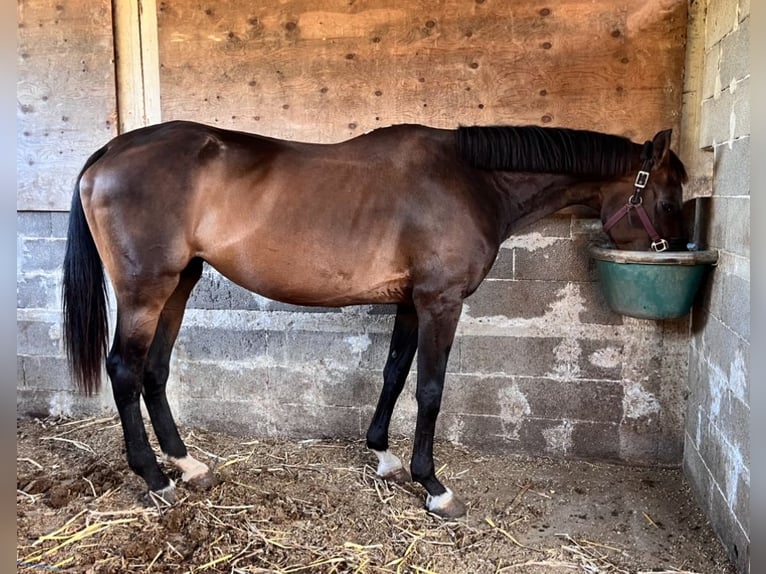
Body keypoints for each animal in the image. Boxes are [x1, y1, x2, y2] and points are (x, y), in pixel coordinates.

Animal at [64, 120, 688, 516]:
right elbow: (431, 389)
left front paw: (383, 454)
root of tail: (109, 153)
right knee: (125, 371)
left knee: (155, 371)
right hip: (146, 289)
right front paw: (433, 486)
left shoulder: (411, 302)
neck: (470, 180)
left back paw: (188, 466)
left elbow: (393, 373)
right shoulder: (441, 301)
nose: (677, 251)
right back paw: (154, 479)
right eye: (667, 199)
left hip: (181, 282)